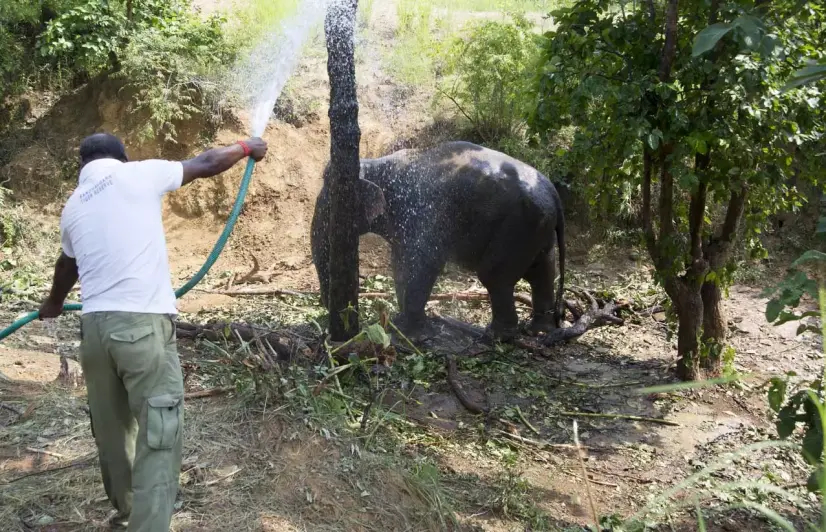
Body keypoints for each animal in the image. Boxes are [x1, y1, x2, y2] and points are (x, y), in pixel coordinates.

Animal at [310, 141, 565, 340]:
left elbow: (424, 262)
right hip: (536, 228)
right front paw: (401, 322)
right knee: (542, 271)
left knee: (495, 275)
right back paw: (538, 331)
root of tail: (553, 192)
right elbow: (400, 263)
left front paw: (414, 334)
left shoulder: (422, 209)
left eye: (330, 206)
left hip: (517, 226)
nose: (328, 311)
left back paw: (495, 336)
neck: (374, 164)